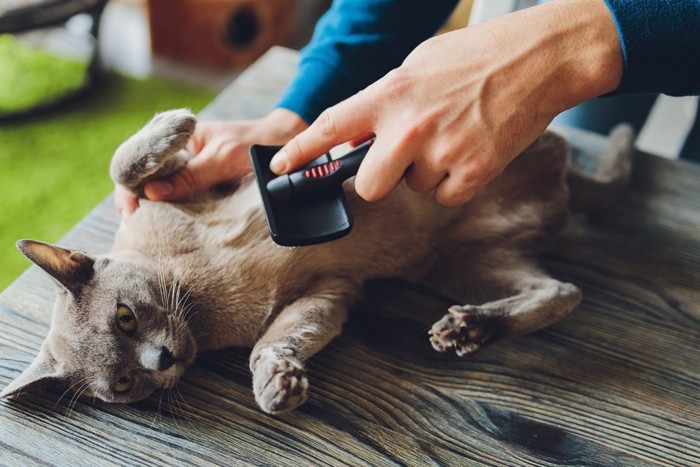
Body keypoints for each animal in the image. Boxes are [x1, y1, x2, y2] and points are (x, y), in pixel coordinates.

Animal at [0, 110, 636, 416]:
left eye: (125, 318)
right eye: (126, 383)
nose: (162, 361)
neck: (199, 299)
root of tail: (562, 185)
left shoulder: (177, 191)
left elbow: (122, 165)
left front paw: (175, 125)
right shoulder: (329, 294)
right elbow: (276, 341)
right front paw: (277, 386)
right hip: (459, 263)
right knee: (563, 290)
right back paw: (469, 328)